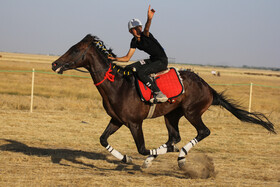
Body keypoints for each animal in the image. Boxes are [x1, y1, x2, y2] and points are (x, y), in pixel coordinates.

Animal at [52, 34, 276, 169]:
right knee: (174, 136)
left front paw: (151, 156)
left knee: (202, 132)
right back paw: (163, 156)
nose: (55, 64)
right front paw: (127, 158)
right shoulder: (117, 120)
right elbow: (103, 140)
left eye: (74, 50)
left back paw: (180, 156)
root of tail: (208, 87)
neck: (117, 86)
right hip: (171, 115)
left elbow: (142, 148)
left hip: (192, 112)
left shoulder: (135, 123)